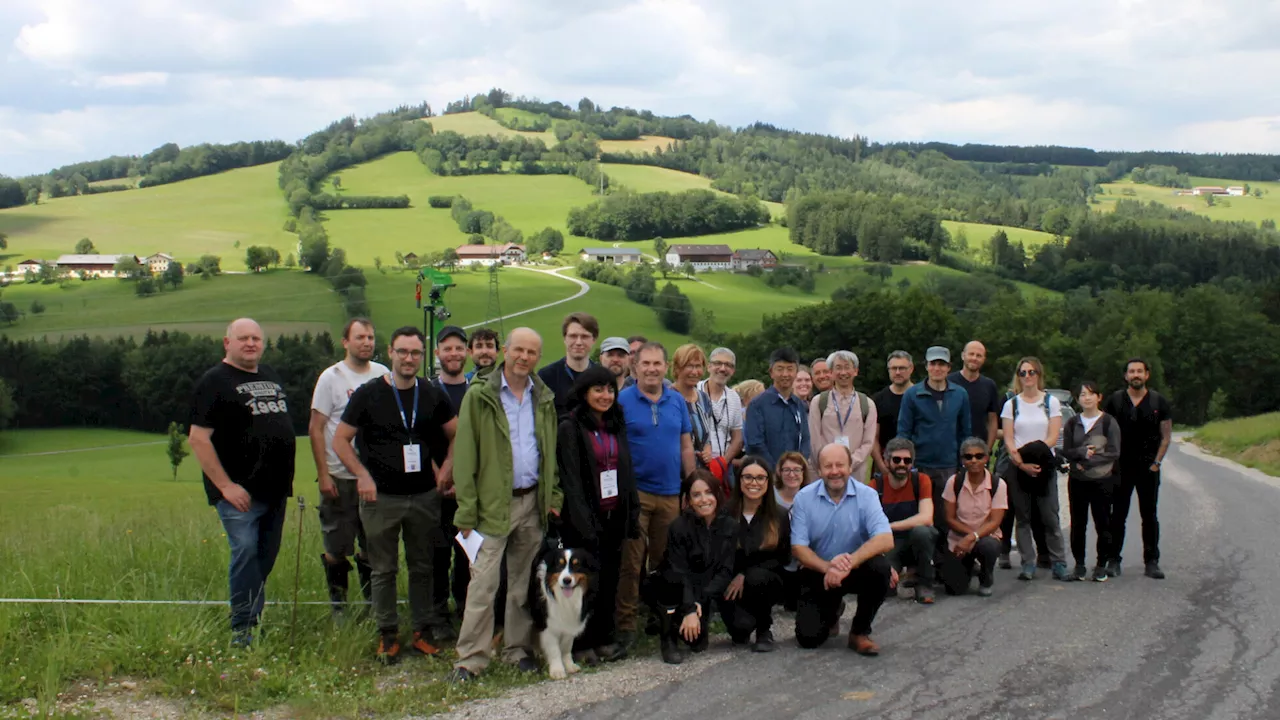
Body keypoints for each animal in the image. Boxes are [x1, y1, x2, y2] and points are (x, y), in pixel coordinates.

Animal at [527, 540, 596, 676]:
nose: (566, 580)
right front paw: (557, 670)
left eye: (576, 565)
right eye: (560, 565)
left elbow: (566, 647)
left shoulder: (569, 622)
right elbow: (554, 650)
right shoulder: (548, 625)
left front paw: (569, 666)